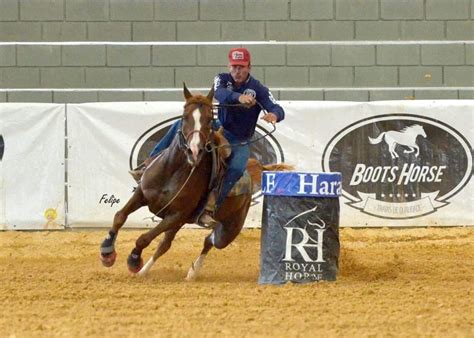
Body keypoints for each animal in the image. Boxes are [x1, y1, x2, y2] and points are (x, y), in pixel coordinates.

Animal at [100, 84, 292, 280]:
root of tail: (251, 170)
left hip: (229, 228)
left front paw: (133, 260)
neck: (172, 172)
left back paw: (192, 272)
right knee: (167, 244)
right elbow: (119, 216)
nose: (194, 151)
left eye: (209, 119)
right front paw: (107, 252)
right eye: (184, 117)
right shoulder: (142, 195)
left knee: (210, 241)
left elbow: (143, 238)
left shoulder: (177, 215)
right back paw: (146, 271)